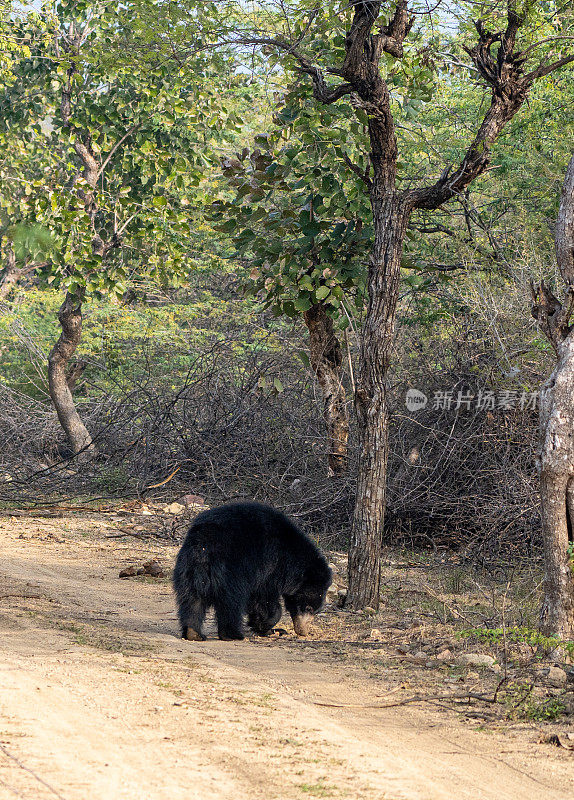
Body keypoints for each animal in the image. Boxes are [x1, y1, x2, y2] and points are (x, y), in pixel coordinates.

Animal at [172, 504, 332, 640]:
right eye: (308, 607)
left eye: (315, 611)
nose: (303, 631)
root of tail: (204, 543)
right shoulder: (268, 567)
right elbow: (264, 600)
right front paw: (268, 626)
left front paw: (272, 629)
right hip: (231, 571)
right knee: (231, 602)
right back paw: (232, 634)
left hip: (189, 569)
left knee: (192, 599)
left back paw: (194, 633)